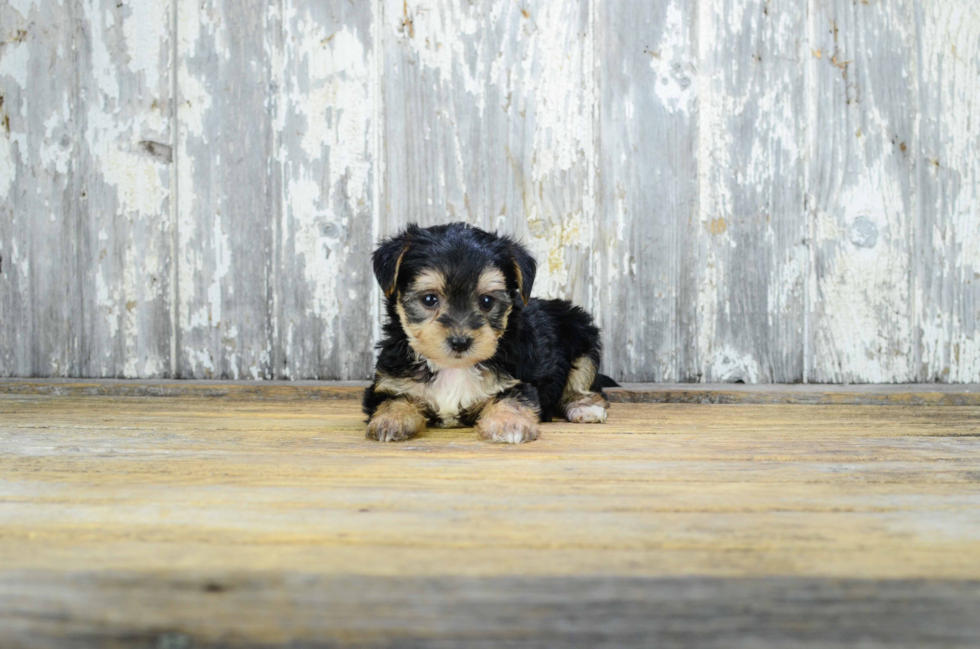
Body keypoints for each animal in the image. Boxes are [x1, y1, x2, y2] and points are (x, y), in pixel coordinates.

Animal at [364, 220, 616, 442]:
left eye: (486, 301)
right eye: (429, 299)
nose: (460, 342)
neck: (453, 367)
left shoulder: (517, 381)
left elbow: (512, 400)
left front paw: (510, 424)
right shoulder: (390, 382)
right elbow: (392, 400)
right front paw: (390, 421)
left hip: (582, 335)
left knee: (583, 381)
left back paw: (585, 407)